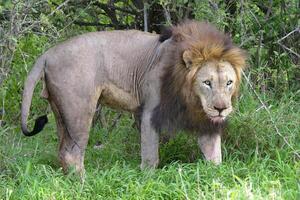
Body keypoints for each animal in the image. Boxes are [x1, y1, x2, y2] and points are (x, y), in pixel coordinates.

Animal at [20, 20, 246, 173]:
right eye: (207, 82)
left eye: (229, 82)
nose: (221, 109)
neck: (190, 95)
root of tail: (48, 53)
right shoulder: (149, 112)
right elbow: (150, 155)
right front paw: (148, 180)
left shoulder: (204, 119)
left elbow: (214, 155)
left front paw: (216, 177)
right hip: (79, 109)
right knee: (72, 153)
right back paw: (84, 185)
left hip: (61, 111)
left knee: (62, 150)